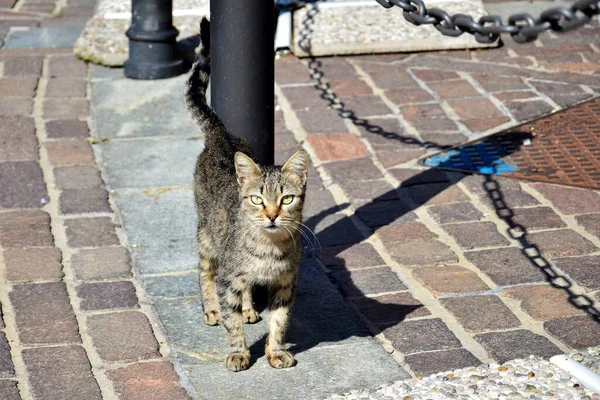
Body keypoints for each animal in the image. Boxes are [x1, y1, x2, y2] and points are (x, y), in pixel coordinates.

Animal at [184, 19, 308, 372]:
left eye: (286, 199)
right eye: (257, 199)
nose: (272, 215)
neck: (269, 249)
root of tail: (222, 135)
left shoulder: (286, 282)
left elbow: (280, 322)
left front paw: (275, 352)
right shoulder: (229, 277)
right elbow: (232, 321)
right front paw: (238, 352)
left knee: (246, 293)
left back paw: (251, 308)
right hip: (206, 236)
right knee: (205, 273)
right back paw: (211, 309)